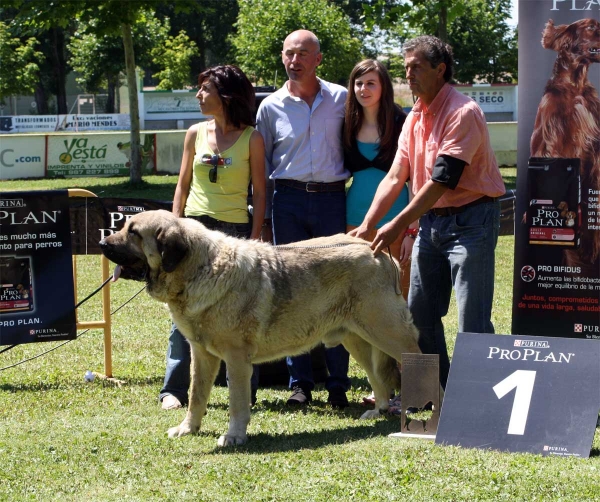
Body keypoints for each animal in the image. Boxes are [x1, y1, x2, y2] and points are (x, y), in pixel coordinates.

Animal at [101, 210, 420, 446]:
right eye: (124, 226)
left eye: (133, 232)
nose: (103, 244)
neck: (200, 268)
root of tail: (378, 251)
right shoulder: (202, 355)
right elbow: (196, 396)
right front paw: (188, 428)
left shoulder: (236, 359)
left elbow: (237, 401)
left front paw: (233, 436)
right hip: (358, 339)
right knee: (379, 378)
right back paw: (378, 410)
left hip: (387, 332)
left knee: (418, 360)